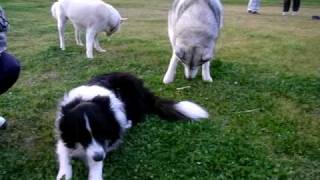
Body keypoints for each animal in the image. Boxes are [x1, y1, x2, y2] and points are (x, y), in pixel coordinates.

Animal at [56, 72, 209, 179]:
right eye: (81, 135)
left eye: (101, 132)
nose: (99, 157)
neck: (87, 100)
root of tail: (144, 89)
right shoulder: (64, 134)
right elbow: (64, 154)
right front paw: (63, 175)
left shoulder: (107, 138)